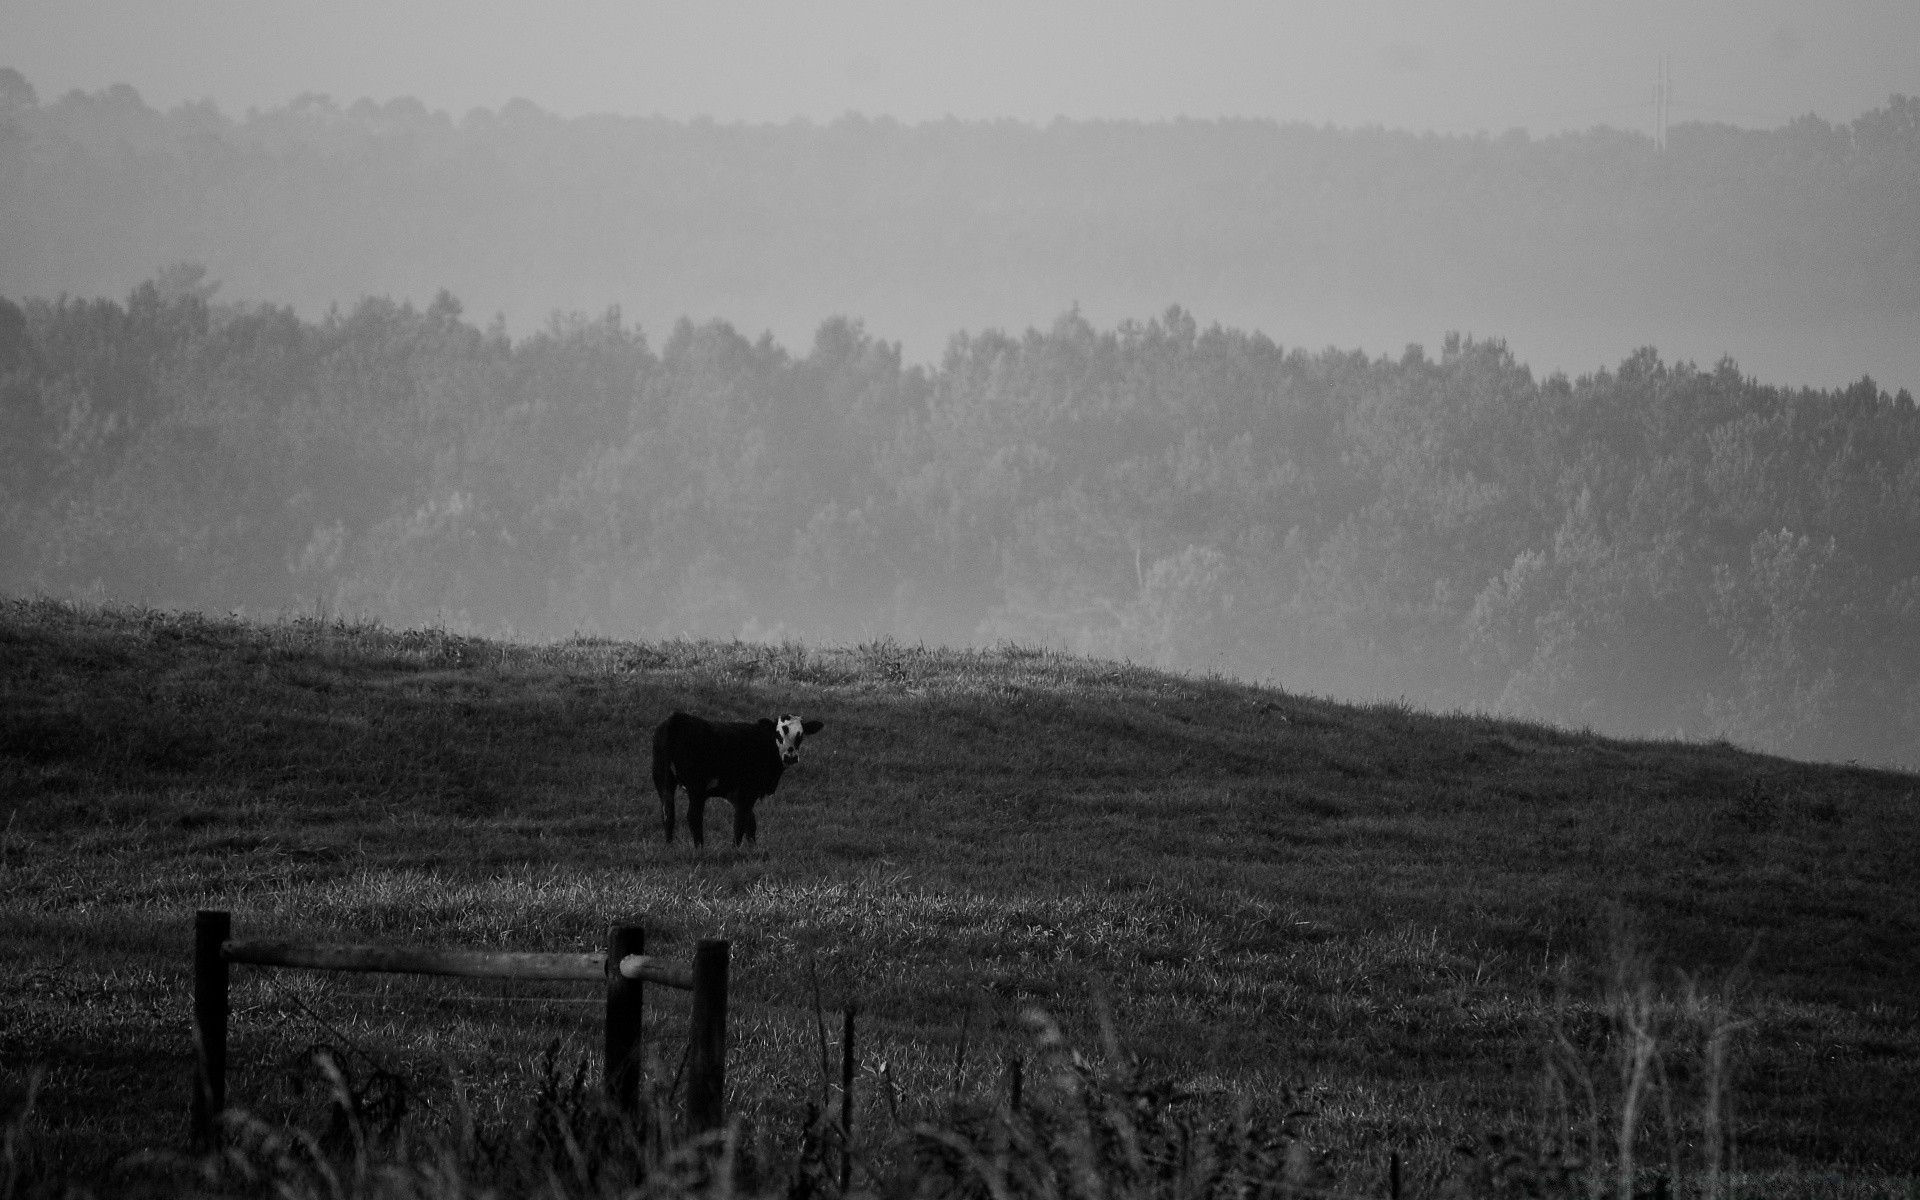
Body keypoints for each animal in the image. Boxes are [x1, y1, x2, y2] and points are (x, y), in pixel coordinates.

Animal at [652, 706, 825, 848]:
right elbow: (741, 822)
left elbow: (750, 822)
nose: (790, 757)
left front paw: (753, 848)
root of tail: (676, 719)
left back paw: (669, 846)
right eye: (778, 734)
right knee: (693, 816)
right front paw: (736, 848)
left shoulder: (737, 795)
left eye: (800, 736)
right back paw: (699, 848)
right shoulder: (748, 791)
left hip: (663, 779)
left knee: (668, 813)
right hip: (696, 787)